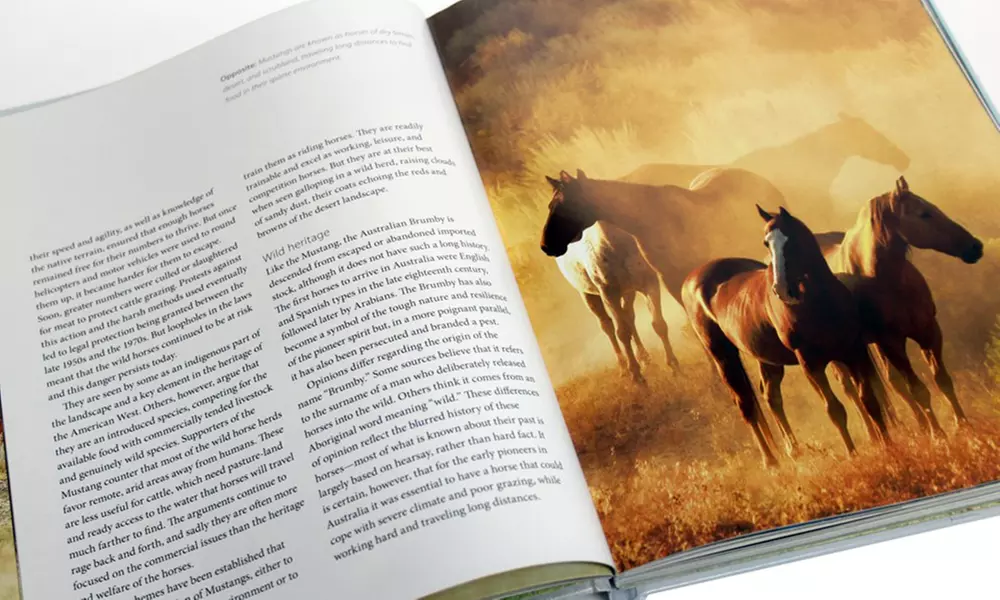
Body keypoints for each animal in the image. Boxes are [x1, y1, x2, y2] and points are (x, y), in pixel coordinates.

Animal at [554, 221, 680, 383]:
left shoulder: (649, 282)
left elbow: (659, 324)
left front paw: (674, 365)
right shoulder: (609, 294)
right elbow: (622, 333)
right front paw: (636, 375)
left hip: (628, 292)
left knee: (629, 317)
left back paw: (644, 358)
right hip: (588, 294)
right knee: (607, 325)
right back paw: (623, 367)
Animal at [680, 206, 889, 467]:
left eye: (792, 241)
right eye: (766, 242)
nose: (781, 289)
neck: (820, 301)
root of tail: (691, 281)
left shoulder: (853, 350)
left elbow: (868, 398)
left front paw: (888, 445)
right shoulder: (810, 363)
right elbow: (834, 409)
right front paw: (853, 453)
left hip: (767, 359)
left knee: (771, 396)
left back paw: (793, 449)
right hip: (723, 356)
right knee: (746, 405)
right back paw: (770, 461)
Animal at [822, 176, 984, 435]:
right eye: (924, 214)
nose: (975, 246)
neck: (883, 278)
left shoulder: (929, 331)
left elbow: (942, 380)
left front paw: (963, 424)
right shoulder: (892, 343)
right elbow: (918, 389)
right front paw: (938, 434)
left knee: (889, 383)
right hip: (844, 356)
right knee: (854, 391)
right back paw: (876, 436)